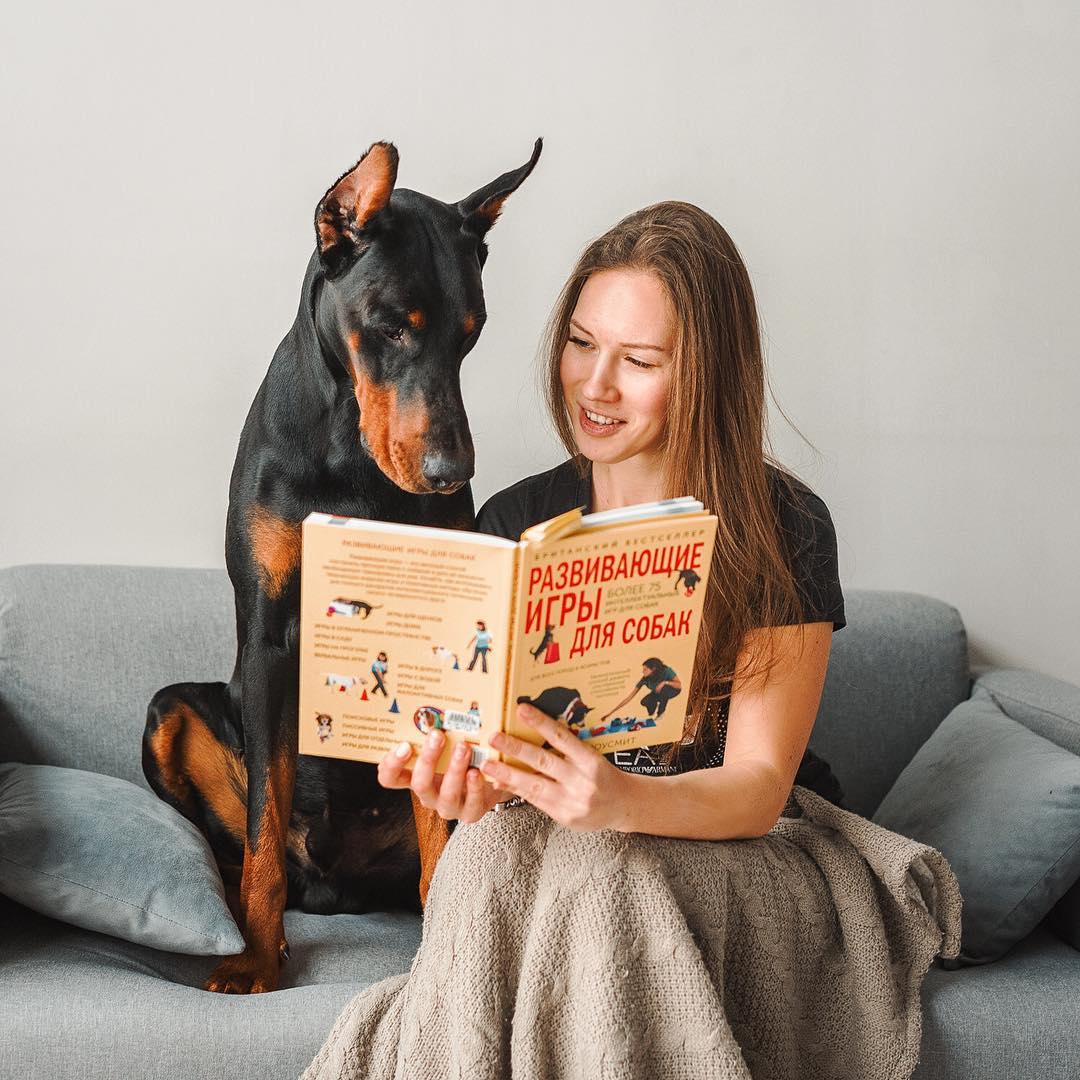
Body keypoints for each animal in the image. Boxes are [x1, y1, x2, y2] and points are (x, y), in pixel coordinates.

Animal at [143, 139, 544, 989]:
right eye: (391, 326)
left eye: (471, 332)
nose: (450, 473)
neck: (346, 449)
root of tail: (335, 889)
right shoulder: (269, 632)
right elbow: (262, 829)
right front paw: (255, 958)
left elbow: (440, 843)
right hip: (171, 713)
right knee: (247, 852)